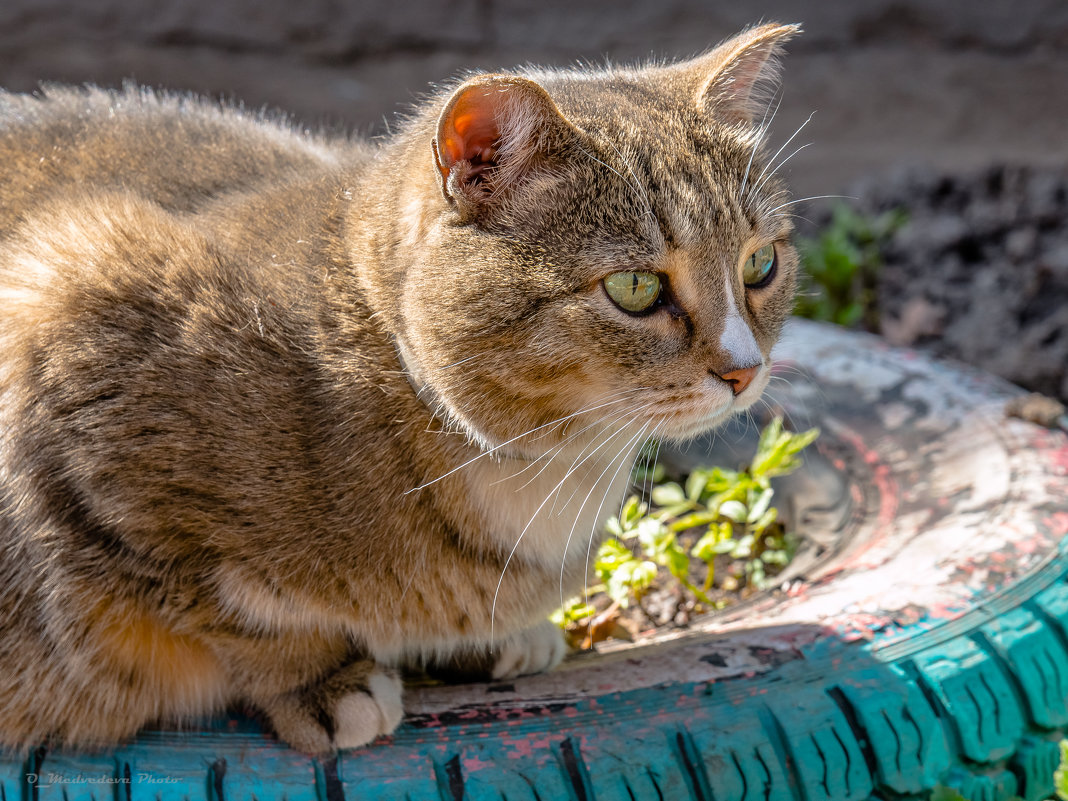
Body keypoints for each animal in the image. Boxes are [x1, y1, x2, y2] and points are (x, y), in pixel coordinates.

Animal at [0, 21, 803, 756]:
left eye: (759, 264)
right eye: (635, 288)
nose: (744, 370)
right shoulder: (74, 318)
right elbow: (233, 610)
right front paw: (325, 680)